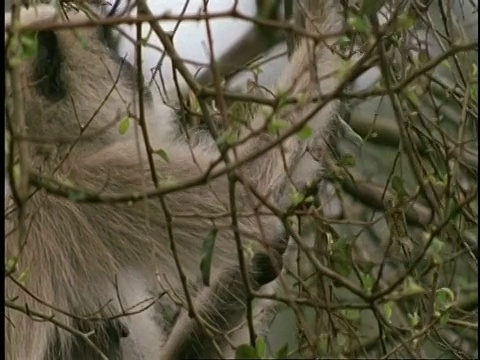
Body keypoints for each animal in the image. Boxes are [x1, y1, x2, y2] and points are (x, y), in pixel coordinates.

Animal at [4, 1, 344, 358]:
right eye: (110, 49)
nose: (131, 69)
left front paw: (256, 266)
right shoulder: (90, 183)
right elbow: (245, 188)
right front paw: (318, 20)